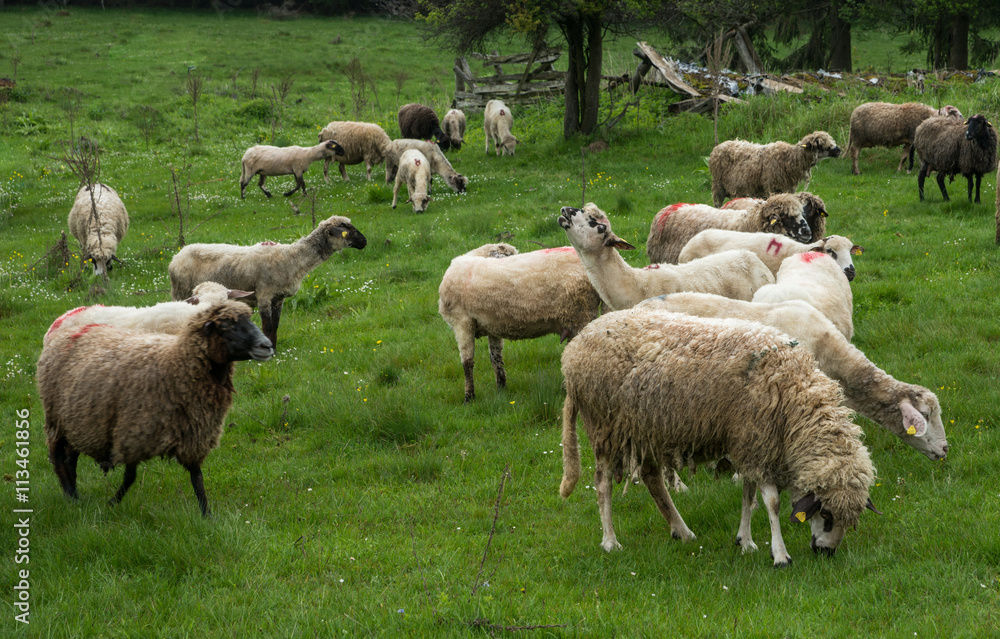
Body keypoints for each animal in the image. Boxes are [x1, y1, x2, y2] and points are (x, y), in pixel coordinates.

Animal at [37, 300, 274, 517]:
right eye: (226, 326)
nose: (267, 346)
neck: (174, 363)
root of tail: (68, 328)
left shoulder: (193, 435)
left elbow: (197, 478)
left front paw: (206, 514)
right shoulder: (132, 432)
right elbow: (130, 477)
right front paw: (111, 504)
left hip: (76, 418)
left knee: (71, 457)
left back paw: (74, 494)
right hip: (57, 418)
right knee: (58, 457)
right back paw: (71, 495)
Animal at [168, 215, 367, 347]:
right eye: (346, 229)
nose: (364, 241)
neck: (291, 258)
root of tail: (177, 255)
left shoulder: (278, 298)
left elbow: (276, 326)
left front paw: (275, 349)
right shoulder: (264, 294)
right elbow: (268, 325)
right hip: (181, 292)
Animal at [438, 244, 601, 402]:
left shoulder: (462, 323)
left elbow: (467, 363)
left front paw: (469, 397)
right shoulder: (491, 326)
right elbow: (495, 358)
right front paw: (501, 389)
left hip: (581, 313)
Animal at [559, 307, 878, 566]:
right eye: (826, 515)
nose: (826, 553)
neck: (794, 394)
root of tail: (576, 345)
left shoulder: (750, 442)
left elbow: (748, 495)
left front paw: (745, 541)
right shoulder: (756, 438)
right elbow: (771, 502)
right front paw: (780, 554)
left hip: (646, 428)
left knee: (651, 477)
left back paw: (682, 531)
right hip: (604, 425)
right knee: (603, 484)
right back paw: (610, 541)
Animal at [709, 131, 842, 206]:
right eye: (820, 145)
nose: (839, 150)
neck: (789, 159)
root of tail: (718, 147)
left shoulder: (787, 189)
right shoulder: (773, 187)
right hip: (718, 186)